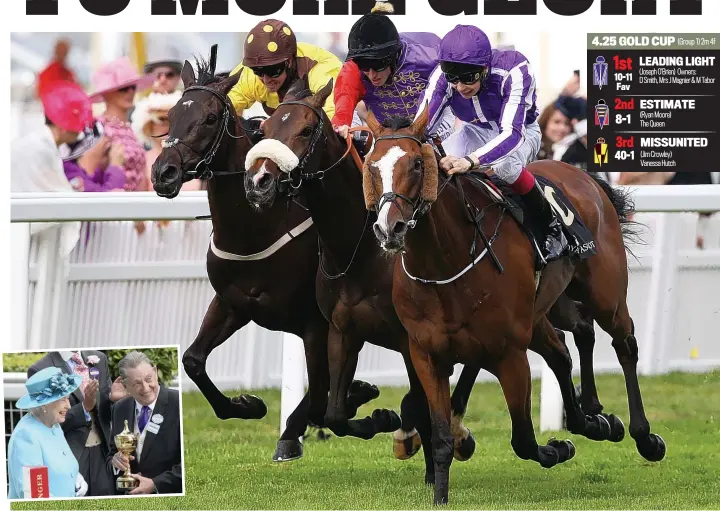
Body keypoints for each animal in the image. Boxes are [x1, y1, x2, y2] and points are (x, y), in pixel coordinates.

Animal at [150, 48, 376, 464]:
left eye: (209, 118)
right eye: (171, 114)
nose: (164, 173)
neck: (256, 228)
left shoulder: (315, 323)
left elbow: (319, 396)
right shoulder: (232, 303)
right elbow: (192, 360)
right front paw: (247, 404)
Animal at [362, 106, 668, 506]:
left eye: (416, 164)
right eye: (371, 165)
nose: (390, 229)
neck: (446, 263)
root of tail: (582, 175)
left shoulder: (509, 353)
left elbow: (522, 439)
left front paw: (558, 448)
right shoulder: (427, 354)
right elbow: (441, 437)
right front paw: (440, 496)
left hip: (605, 295)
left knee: (624, 345)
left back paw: (643, 435)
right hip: (548, 309)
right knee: (570, 344)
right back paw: (594, 417)